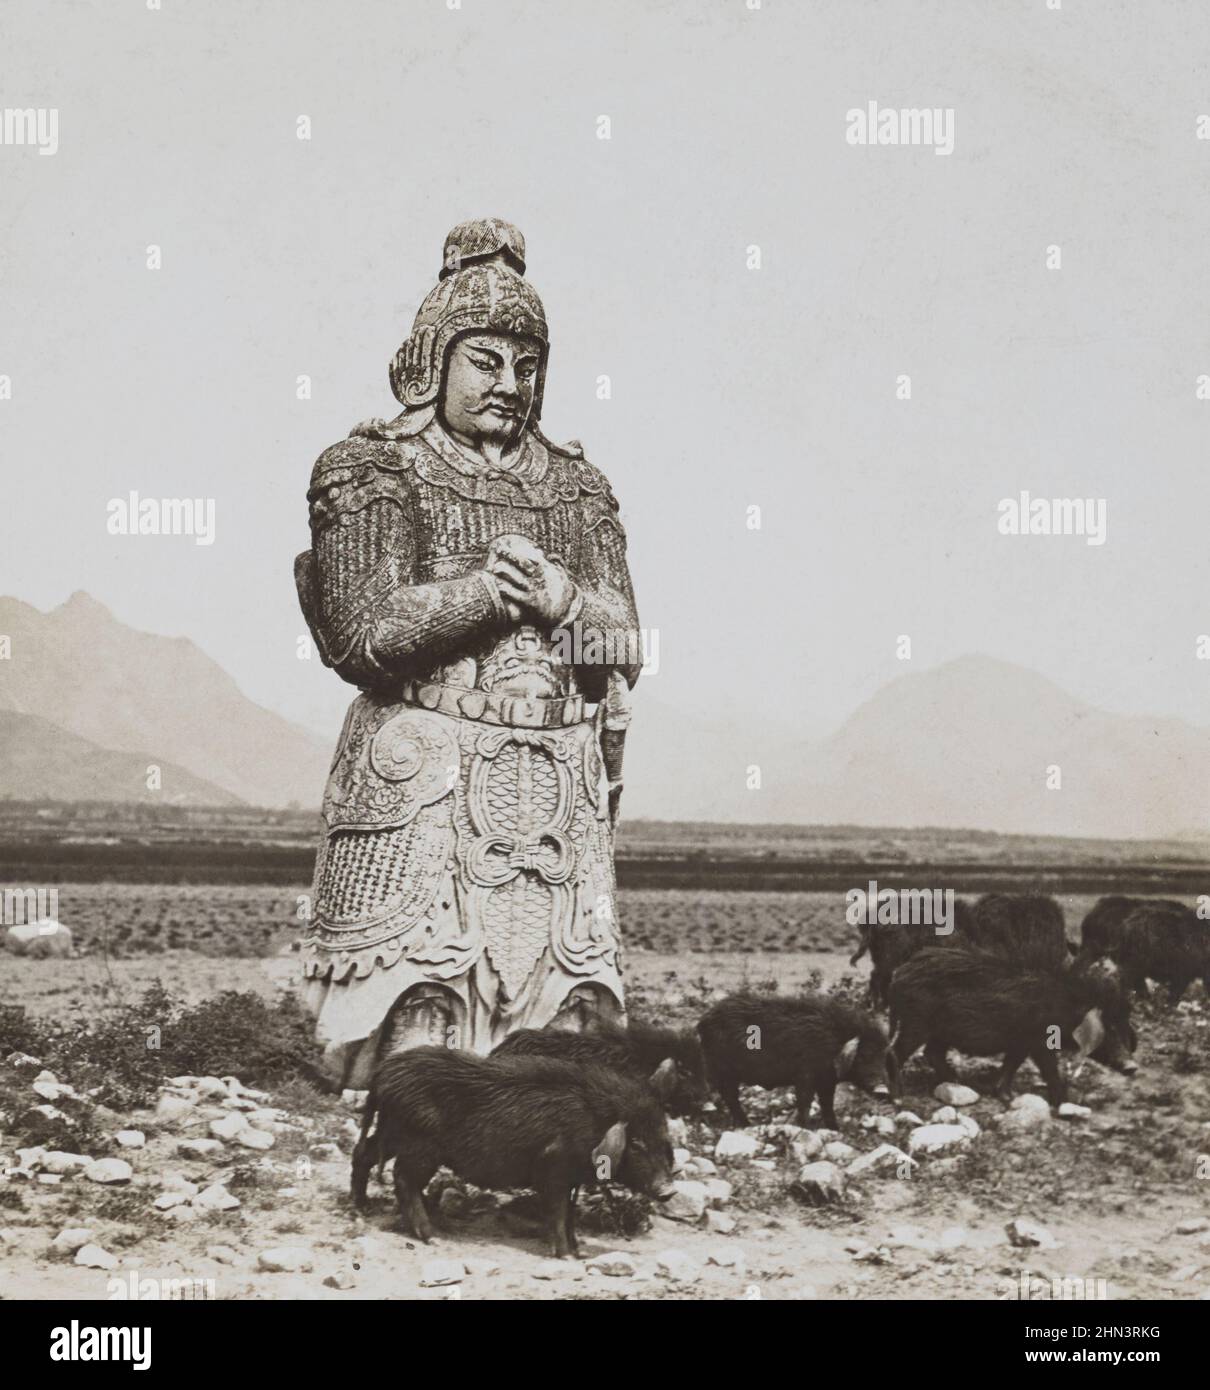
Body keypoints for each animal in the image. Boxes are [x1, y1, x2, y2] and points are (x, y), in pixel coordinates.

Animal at [350, 1050, 677, 1262]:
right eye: (636, 1143)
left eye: (662, 1136)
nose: (669, 1190)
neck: (594, 1121)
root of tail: (382, 1074)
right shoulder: (552, 1167)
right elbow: (558, 1212)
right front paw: (566, 1257)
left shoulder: (573, 1177)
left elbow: (571, 1213)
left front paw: (579, 1251)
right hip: (419, 1144)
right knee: (403, 1178)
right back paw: (432, 1237)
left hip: (393, 1131)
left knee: (362, 1152)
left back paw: (362, 1207)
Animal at [694, 989, 894, 1128]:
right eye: (863, 1056)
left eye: (883, 1057)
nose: (883, 1089)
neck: (833, 1040)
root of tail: (702, 1021)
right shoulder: (805, 1075)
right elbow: (805, 1102)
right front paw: (805, 1128)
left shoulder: (827, 1081)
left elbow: (827, 1104)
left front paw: (836, 1129)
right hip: (721, 1069)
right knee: (728, 1095)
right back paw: (745, 1124)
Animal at [889, 945, 1133, 1106]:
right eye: (1109, 1028)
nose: (1132, 1067)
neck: (1066, 1005)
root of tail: (899, 972)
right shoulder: (1036, 1040)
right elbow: (1047, 1068)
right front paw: (1061, 1102)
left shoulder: (1021, 1042)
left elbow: (1011, 1064)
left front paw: (1007, 1096)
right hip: (916, 1022)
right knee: (894, 1052)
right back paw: (899, 1098)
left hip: (940, 1031)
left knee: (932, 1052)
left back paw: (957, 1080)